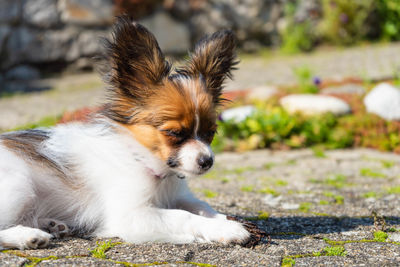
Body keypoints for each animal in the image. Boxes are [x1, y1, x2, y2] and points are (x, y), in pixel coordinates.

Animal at [0, 15, 250, 250]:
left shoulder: (179, 196)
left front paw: (225, 221)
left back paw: (53, 225)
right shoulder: (132, 215)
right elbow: (183, 216)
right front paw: (225, 230)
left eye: (211, 133)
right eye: (175, 132)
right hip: (20, 186)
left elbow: (202, 206)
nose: (207, 161)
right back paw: (28, 236)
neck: (146, 162)